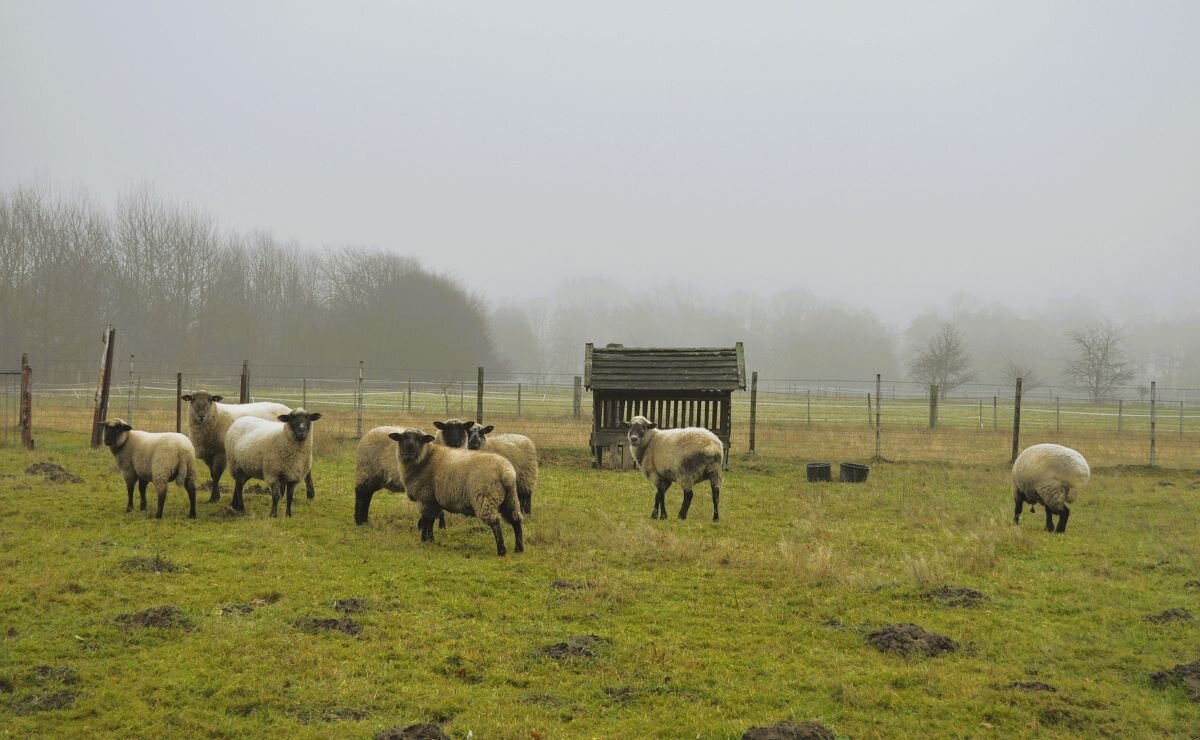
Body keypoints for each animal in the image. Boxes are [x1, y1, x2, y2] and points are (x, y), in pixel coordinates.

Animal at [180, 386, 316, 501]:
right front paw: (215, 496)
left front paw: (214, 498)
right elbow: (213, 475)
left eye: (210, 399)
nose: (201, 415)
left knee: (307, 470)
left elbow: (216, 475)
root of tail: (287, 408)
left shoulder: (221, 453)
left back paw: (310, 495)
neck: (216, 415)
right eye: (192, 399)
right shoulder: (209, 454)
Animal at [386, 424, 523, 556]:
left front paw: (424, 539)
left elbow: (426, 520)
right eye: (402, 437)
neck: (425, 458)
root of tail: (506, 471)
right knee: (516, 520)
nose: (409, 448)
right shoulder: (433, 500)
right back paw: (519, 549)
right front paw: (430, 540)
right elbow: (431, 521)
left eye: (420, 439)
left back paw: (502, 551)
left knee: (495, 523)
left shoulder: (425, 497)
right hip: (510, 498)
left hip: (486, 496)